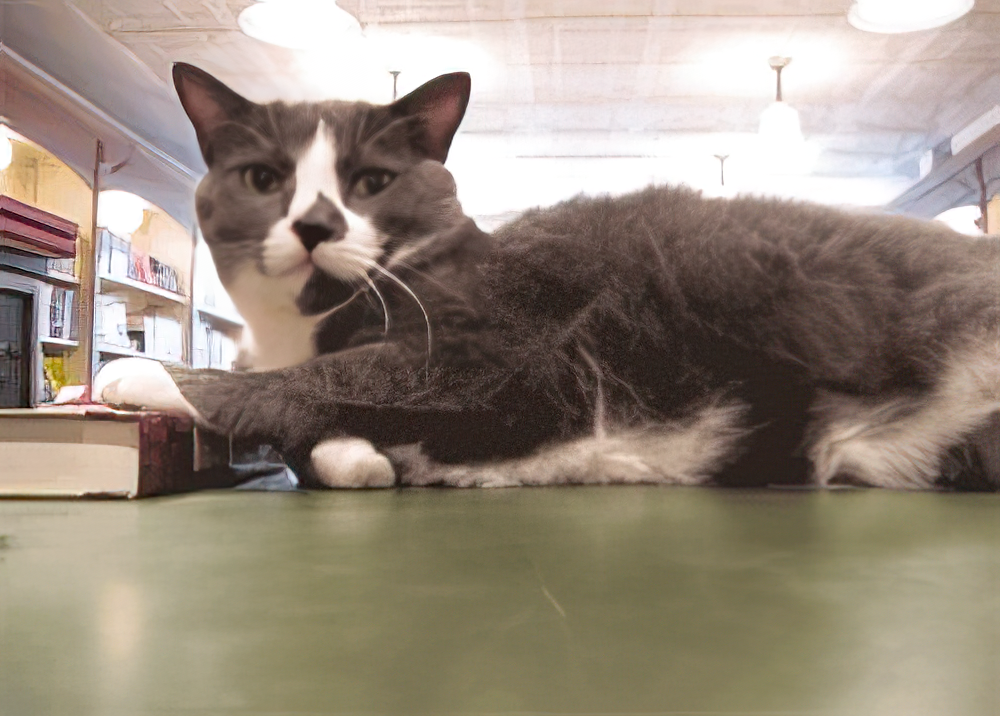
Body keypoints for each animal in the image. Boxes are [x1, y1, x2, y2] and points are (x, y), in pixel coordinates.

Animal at [97, 63, 1000, 492]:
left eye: (371, 182)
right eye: (264, 178)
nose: (317, 227)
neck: (301, 322)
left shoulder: (494, 344)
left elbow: (324, 379)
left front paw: (140, 373)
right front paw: (354, 457)